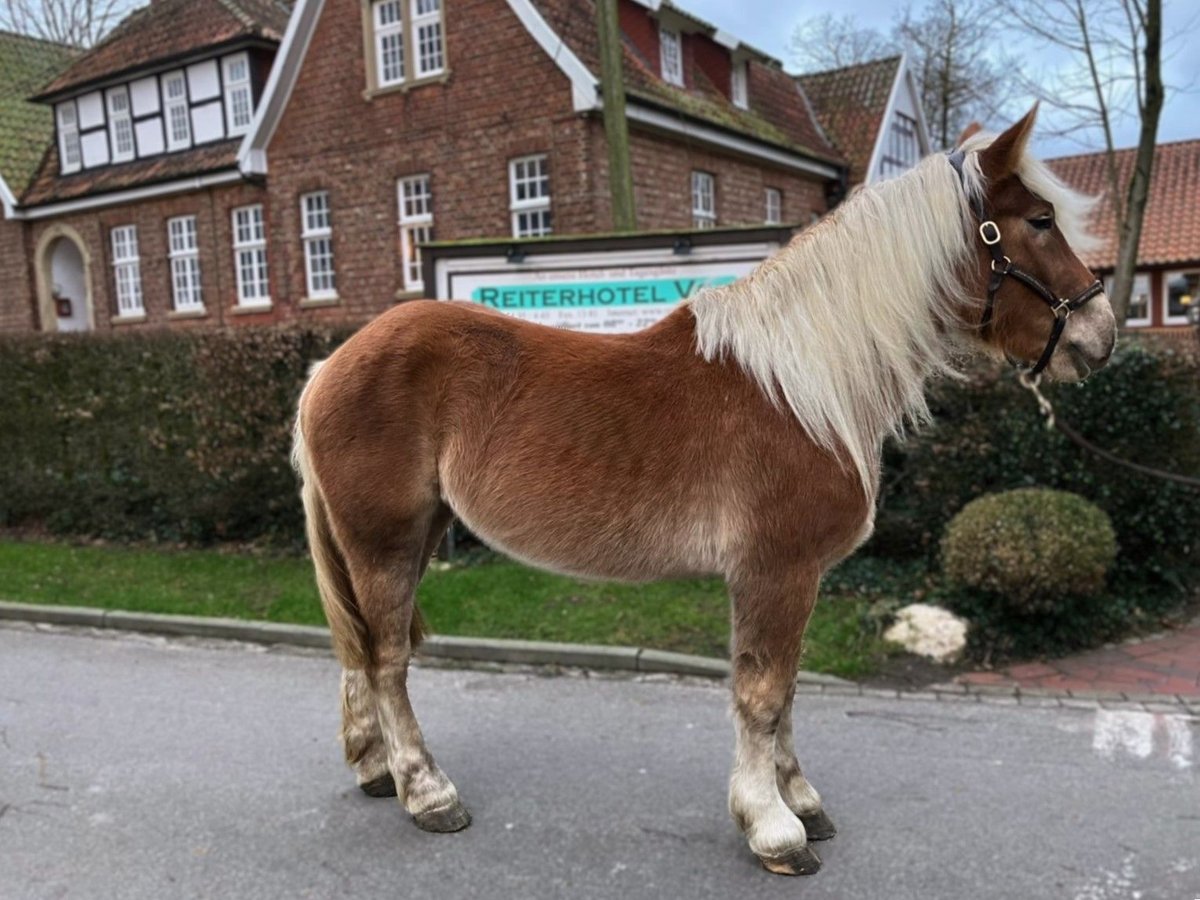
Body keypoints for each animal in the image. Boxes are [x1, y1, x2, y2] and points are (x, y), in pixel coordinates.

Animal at [290, 109, 1113, 878]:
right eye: (1039, 221)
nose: (1099, 335)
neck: (804, 385)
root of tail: (332, 365)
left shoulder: (792, 579)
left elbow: (785, 693)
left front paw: (800, 800)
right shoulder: (774, 572)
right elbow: (762, 694)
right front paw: (773, 826)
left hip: (415, 533)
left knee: (361, 651)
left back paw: (376, 770)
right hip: (385, 541)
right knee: (388, 658)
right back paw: (427, 792)